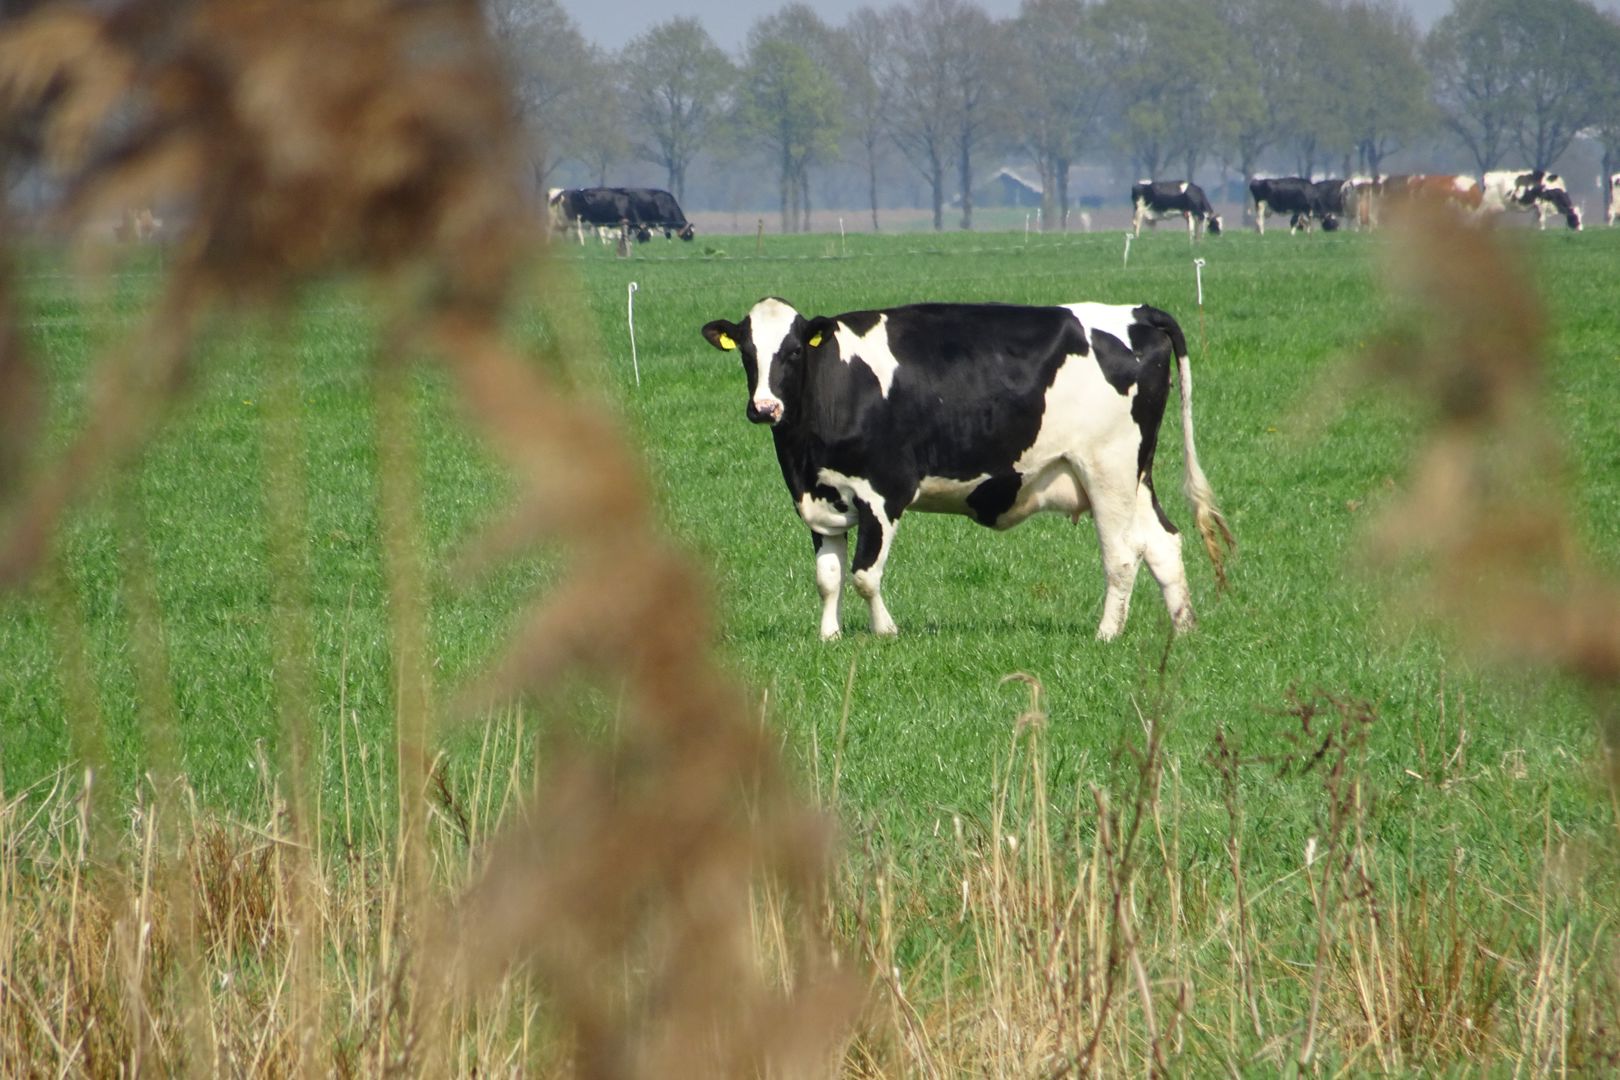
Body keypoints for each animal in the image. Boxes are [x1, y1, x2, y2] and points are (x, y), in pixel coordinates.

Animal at [703, 293, 1231, 641]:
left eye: (794, 351)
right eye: (747, 354)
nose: (764, 407)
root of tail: (1137, 312)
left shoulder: (883, 493)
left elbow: (864, 575)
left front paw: (885, 632)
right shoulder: (819, 496)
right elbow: (827, 577)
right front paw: (829, 638)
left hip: (1108, 468)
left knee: (1122, 554)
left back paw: (1107, 634)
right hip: (1134, 473)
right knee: (1163, 542)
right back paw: (1183, 628)